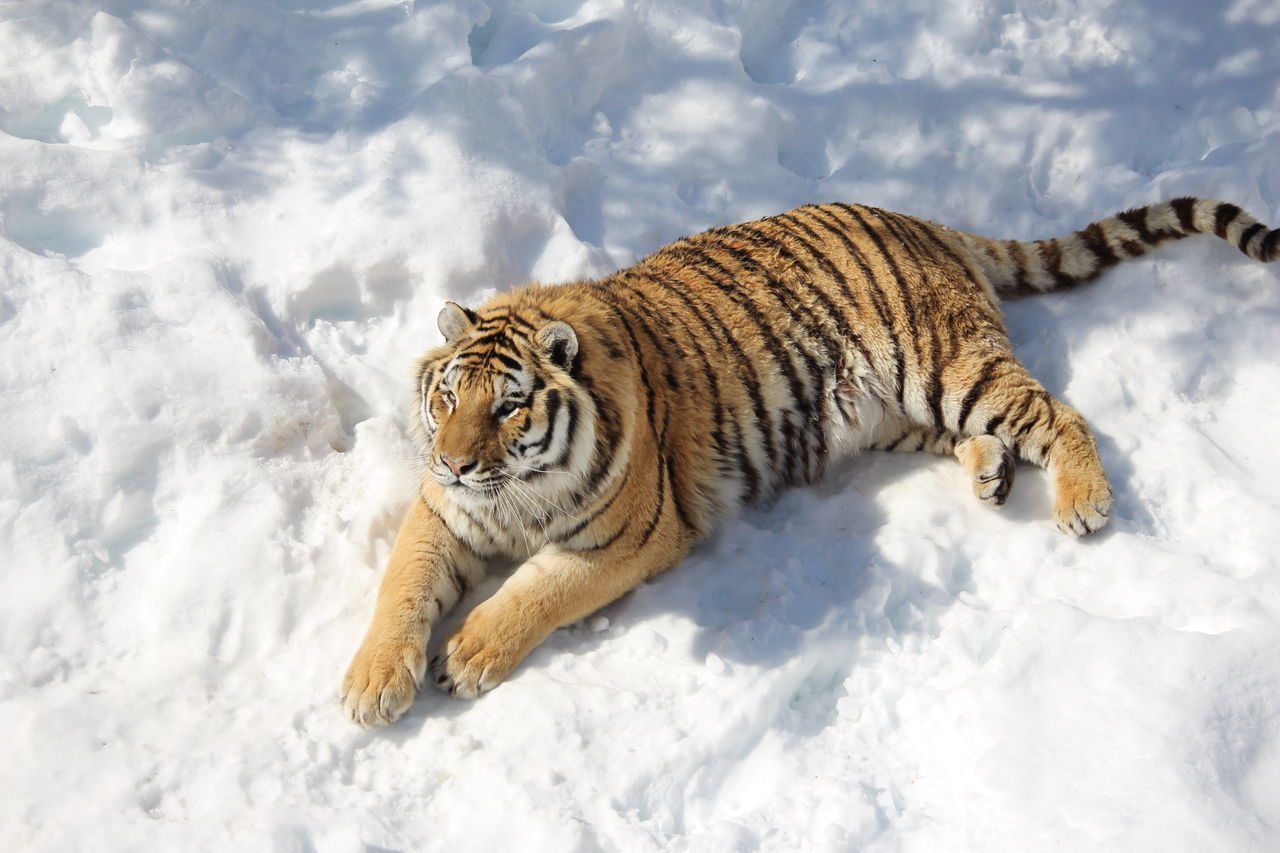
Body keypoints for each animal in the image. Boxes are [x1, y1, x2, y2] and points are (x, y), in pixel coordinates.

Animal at [340, 194, 1280, 722]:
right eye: (447, 399)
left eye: (508, 405)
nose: (456, 462)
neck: (514, 491)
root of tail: (919, 222)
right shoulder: (441, 512)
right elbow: (400, 584)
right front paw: (371, 683)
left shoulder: (632, 533)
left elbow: (538, 590)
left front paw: (467, 655)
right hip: (894, 410)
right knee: (984, 433)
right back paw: (991, 472)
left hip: (946, 365)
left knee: (1058, 411)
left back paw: (1082, 501)